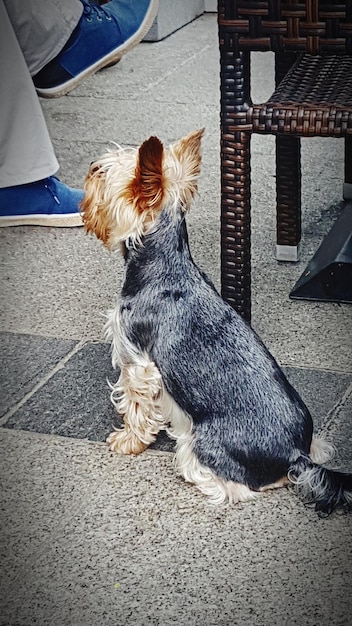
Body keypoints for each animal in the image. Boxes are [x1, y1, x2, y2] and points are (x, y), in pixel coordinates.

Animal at [80, 129, 352, 516]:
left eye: (102, 175)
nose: (91, 166)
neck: (164, 265)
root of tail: (295, 456)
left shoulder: (136, 359)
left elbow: (135, 404)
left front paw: (128, 441)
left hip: (201, 443)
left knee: (231, 485)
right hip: (310, 440)